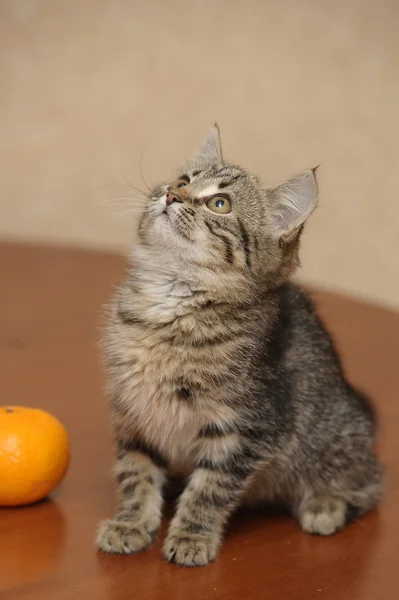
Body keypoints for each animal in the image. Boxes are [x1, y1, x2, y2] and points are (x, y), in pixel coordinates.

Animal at [95, 125, 382, 568]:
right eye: (183, 181)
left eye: (220, 204)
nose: (172, 195)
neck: (170, 303)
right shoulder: (136, 413)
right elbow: (136, 472)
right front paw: (131, 522)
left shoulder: (245, 426)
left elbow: (209, 490)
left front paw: (192, 535)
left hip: (330, 438)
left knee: (370, 482)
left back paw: (326, 505)